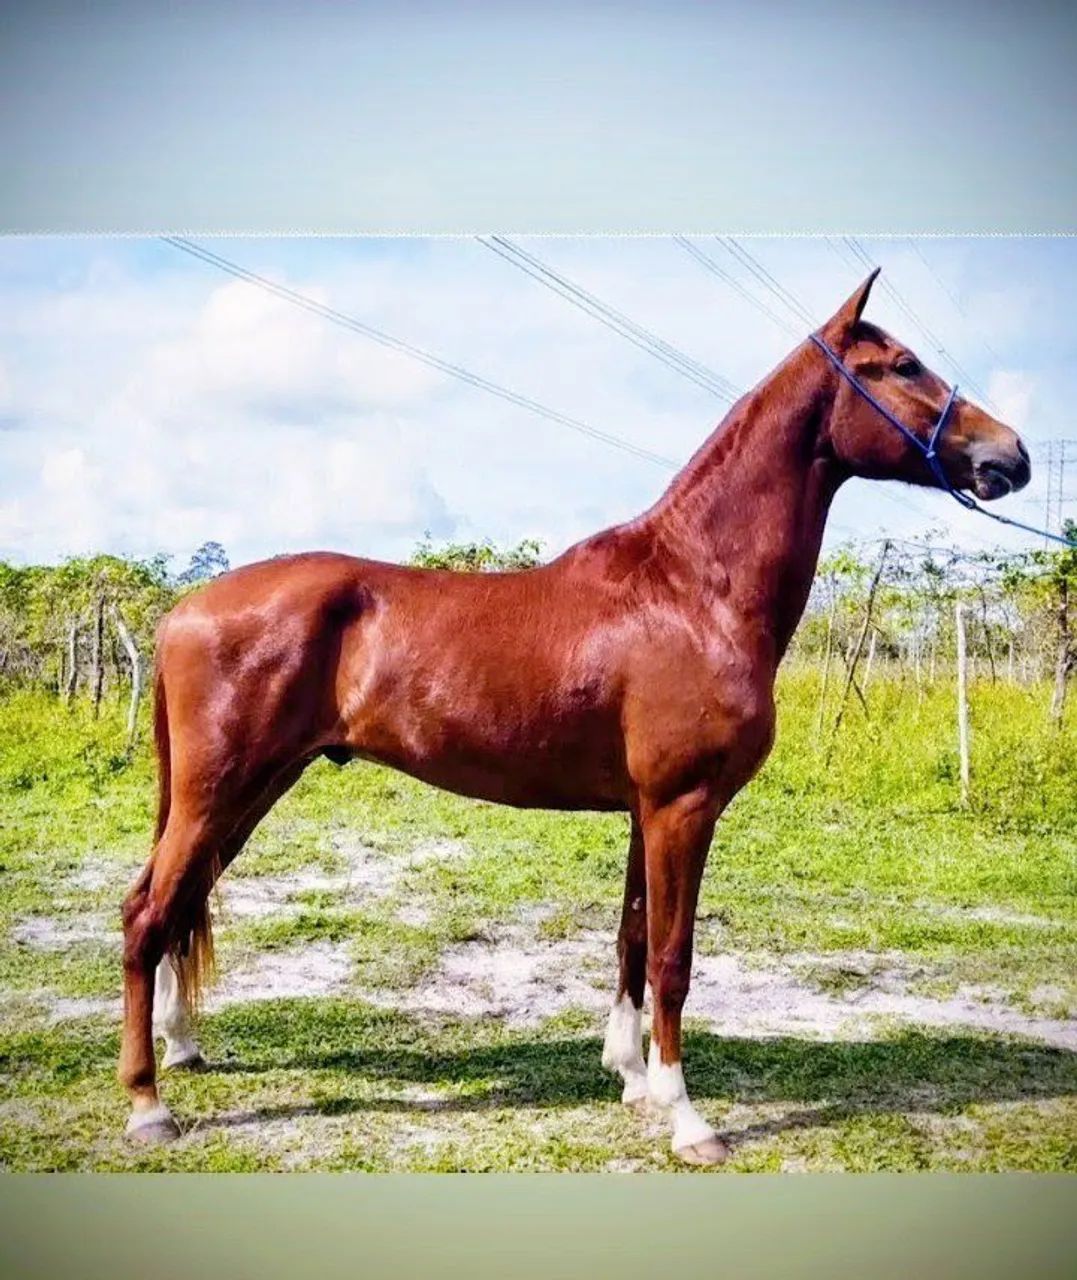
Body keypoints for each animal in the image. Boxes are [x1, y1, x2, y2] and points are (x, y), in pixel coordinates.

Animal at [119, 269, 1030, 1164]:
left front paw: (629, 1075)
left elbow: (630, 939)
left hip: (249, 792)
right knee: (147, 915)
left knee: (180, 905)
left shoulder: (645, 808)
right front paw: (686, 1118)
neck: (691, 589)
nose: (1010, 455)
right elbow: (671, 957)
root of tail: (182, 611)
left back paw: (184, 1046)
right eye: (902, 365)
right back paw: (148, 1105)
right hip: (218, 791)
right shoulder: (683, 806)